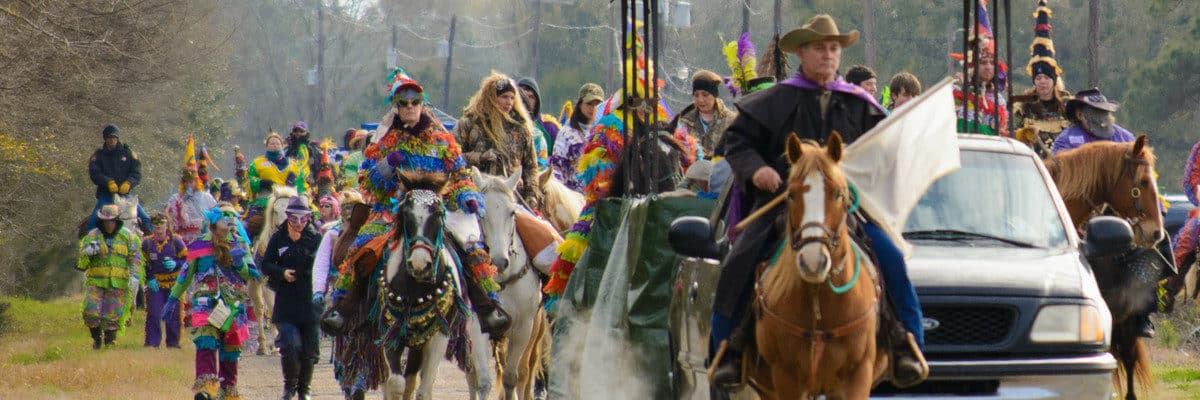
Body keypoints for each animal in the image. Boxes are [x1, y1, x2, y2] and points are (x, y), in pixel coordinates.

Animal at [472, 166, 544, 396]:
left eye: (512, 212)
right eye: (480, 212)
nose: (499, 261)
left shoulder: (523, 327)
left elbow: (512, 377)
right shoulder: (477, 325)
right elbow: (483, 381)